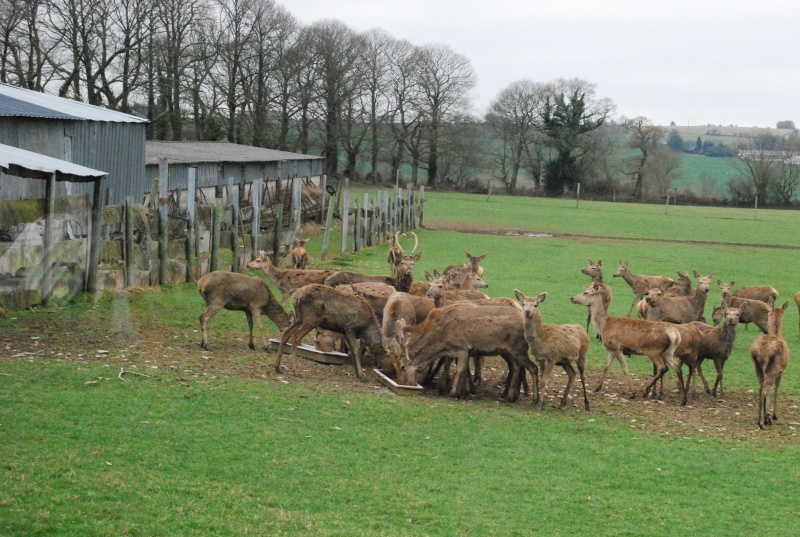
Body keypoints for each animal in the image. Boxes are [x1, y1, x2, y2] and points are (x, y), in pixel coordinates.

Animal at [748, 298, 792, 428]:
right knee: (765, 389)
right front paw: (773, 416)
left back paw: (760, 419)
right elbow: (776, 390)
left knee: (761, 388)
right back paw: (762, 422)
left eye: (768, 312)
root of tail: (761, 351)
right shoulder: (781, 370)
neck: (777, 333)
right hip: (773, 367)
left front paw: (767, 415)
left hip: (757, 366)